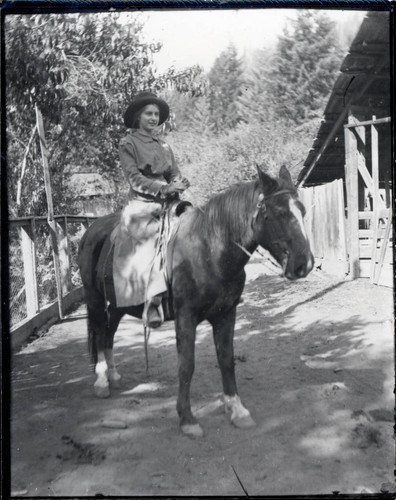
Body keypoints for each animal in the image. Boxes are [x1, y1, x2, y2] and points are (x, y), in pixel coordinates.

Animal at [76, 165, 312, 438]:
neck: (210, 249)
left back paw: (113, 375)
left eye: (302, 211)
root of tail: (91, 230)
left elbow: (226, 359)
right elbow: (186, 365)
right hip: (95, 301)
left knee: (108, 335)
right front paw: (187, 418)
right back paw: (101, 380)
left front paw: (237, 410)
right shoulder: (185, 317)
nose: (304, 264)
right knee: (99, 333)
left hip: (116, 306)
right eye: (281, 213)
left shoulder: (226, 314)